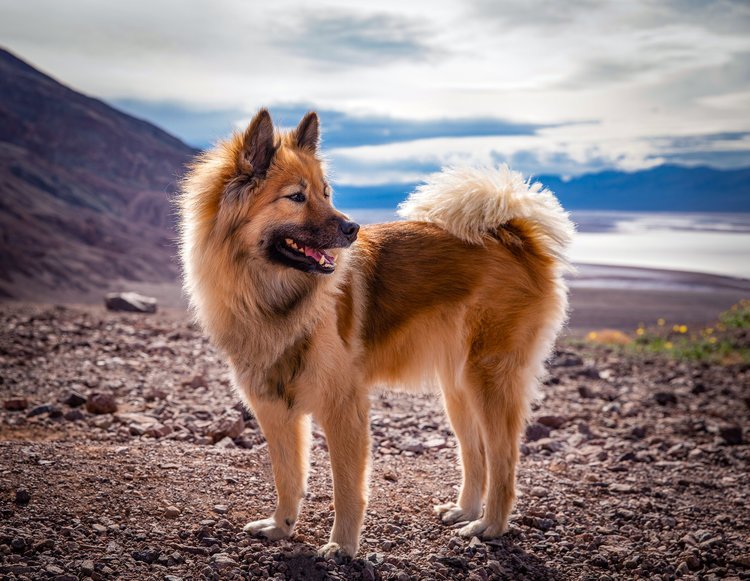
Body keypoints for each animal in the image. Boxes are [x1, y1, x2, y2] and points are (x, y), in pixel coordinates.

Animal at [178, 109, 576, 556]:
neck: (271, 297)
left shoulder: (343, 406)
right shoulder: (274, 407)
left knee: (503, 459)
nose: (352, 228)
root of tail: (513, 238)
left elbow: (346, 488)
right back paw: (465, 510)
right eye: (296, 197)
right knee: (474, 452)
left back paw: (489, 525)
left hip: (488, 379)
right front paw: (281, 527)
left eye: (326, 193)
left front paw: (342, 546)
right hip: (458, 387)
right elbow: (288, 476)